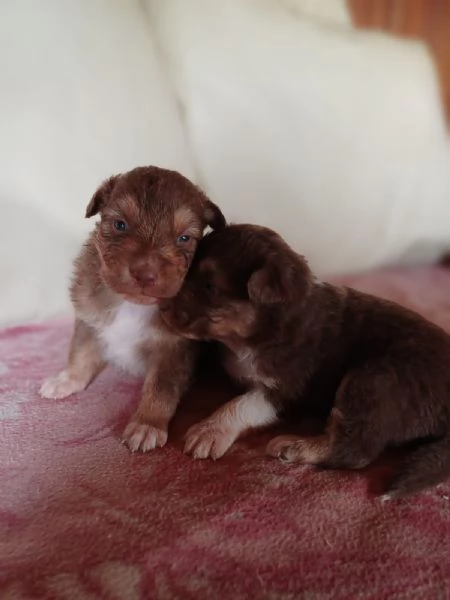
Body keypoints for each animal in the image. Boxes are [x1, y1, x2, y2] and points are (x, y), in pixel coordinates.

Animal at [39, 166, 225, 452]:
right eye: (120, 225)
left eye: (184, 238)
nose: (145, 275)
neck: (133, 304)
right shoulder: (88, 317)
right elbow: (80, 352)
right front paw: (67, 379)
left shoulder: (173, 349)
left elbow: (160, 389)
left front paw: (147, 424)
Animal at [160, 224, 450, 496]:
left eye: (210, 286)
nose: (162, 309)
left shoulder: (288, 387)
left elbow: (241, 404)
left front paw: (209, 430)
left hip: (374, 381)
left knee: (356, 449)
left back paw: (295, 446)